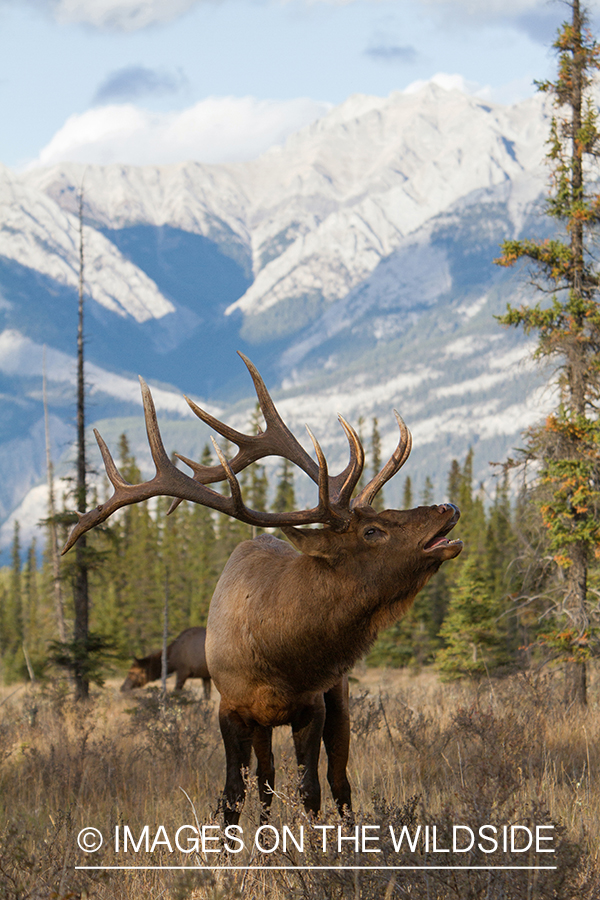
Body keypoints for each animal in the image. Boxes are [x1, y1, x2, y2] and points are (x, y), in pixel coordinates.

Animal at [63, 352, 462, 824]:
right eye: (372, 531)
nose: (448, 507)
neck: (278, 652)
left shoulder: (313, 705)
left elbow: (311, 790)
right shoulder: (230, 708)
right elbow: (234, 793)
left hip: (340, 697)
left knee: (340, 780)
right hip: (265, 724)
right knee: (267, 779)